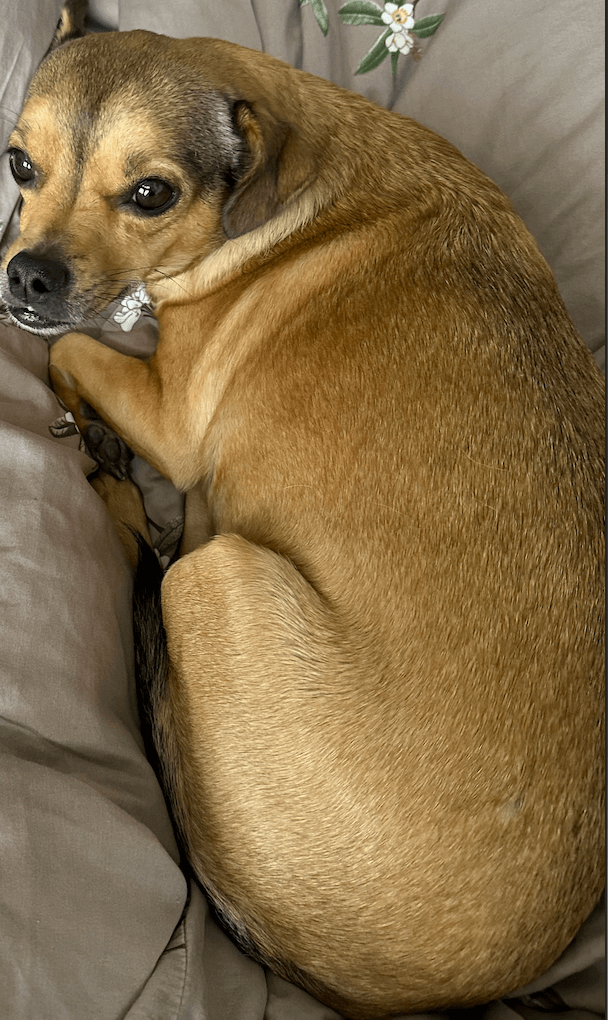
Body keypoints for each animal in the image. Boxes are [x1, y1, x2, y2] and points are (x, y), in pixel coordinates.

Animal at [2, 15, 603, 1020]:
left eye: (151, 193)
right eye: (19, 165)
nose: (24, 279)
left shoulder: (171, 415)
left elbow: (72, 355)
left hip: (216, 578)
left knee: (160, 575)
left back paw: (120, 496)